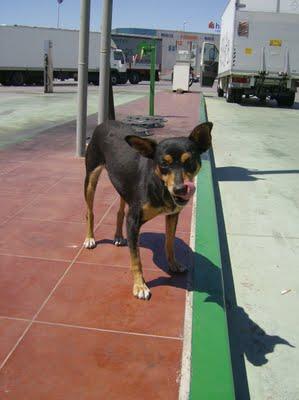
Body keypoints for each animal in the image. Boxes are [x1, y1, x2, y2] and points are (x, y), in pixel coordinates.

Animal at [83, 122, 212, 300]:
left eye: (190, 161)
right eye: (164, 164)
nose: (180, 189)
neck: (159, 185)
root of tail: (108, 121)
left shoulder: (172, 215)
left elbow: (169, 243)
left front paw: (173, 264)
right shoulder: (133, 221)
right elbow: (136, 260)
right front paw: (140, 286)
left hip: (123, 186)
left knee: (120, 212)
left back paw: (118, 236)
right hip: (91, 177)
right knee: (90, 212)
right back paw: (90, 238)